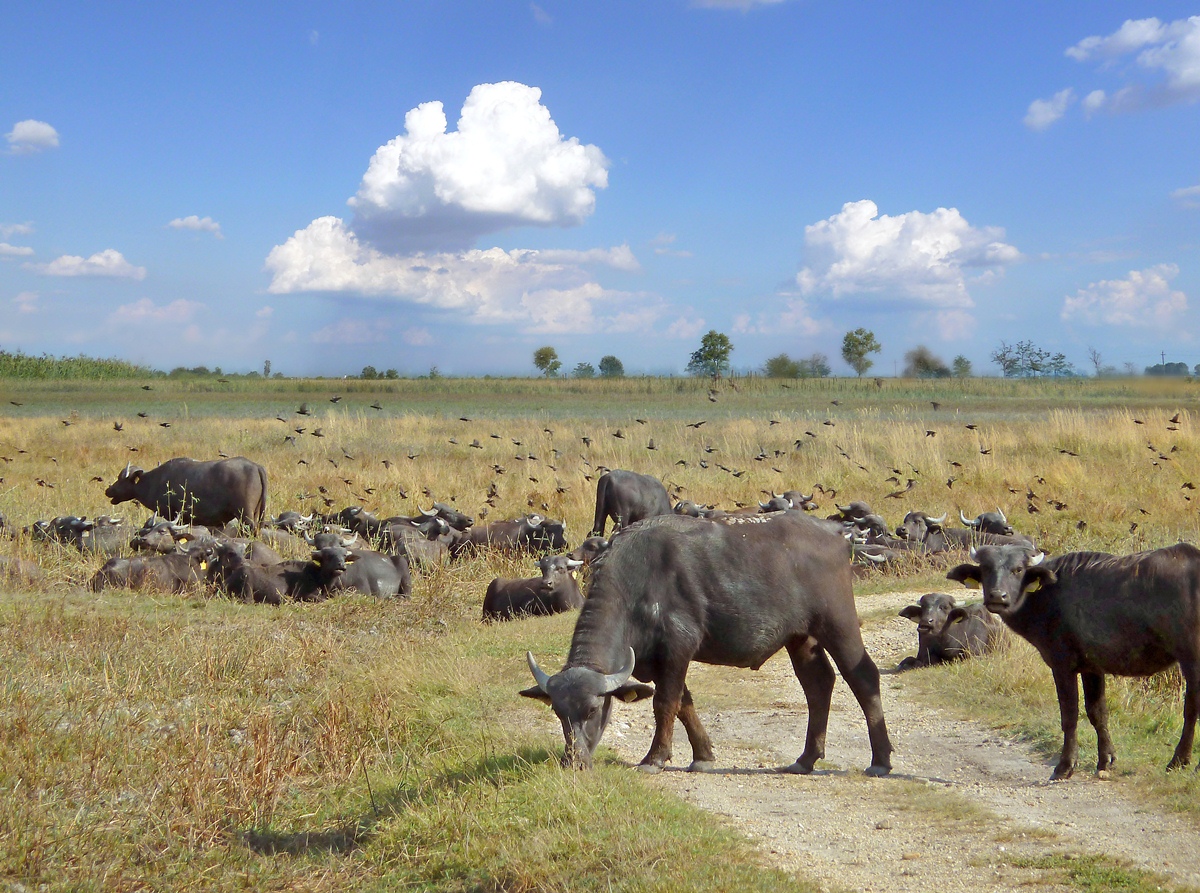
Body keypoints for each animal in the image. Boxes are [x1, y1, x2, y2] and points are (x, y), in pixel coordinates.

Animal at [105, 460, 267, 530]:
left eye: (121, 479)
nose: (108, 490)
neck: (155, 481)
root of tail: (256, 466)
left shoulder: (175, 516)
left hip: (245, 515)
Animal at [520, 508, 897, 772]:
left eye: (593, 709)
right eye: (559, 713)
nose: (574, 761)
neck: (637, 584)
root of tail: (835, 534)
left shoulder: (679, 646)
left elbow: (665, 703)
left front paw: (655, 757)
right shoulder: (659, 661)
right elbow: (684, 703)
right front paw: (702, 755)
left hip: (838, 622)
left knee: (863, 676)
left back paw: (880, 760)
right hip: (800, 637)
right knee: (819, 684)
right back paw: (805, 758)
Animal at [945, 540, 1200, 777]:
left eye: (1017, 569)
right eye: (986, 569)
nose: (998, 596)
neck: (1047, 596)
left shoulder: (1062, 665)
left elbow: (1069, 714)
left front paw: (1065, 766)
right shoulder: (1092, 667)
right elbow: (1097, 712)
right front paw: (1105, 760)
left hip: (1191, 659)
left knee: (1191, 708)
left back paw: (1179, 760)